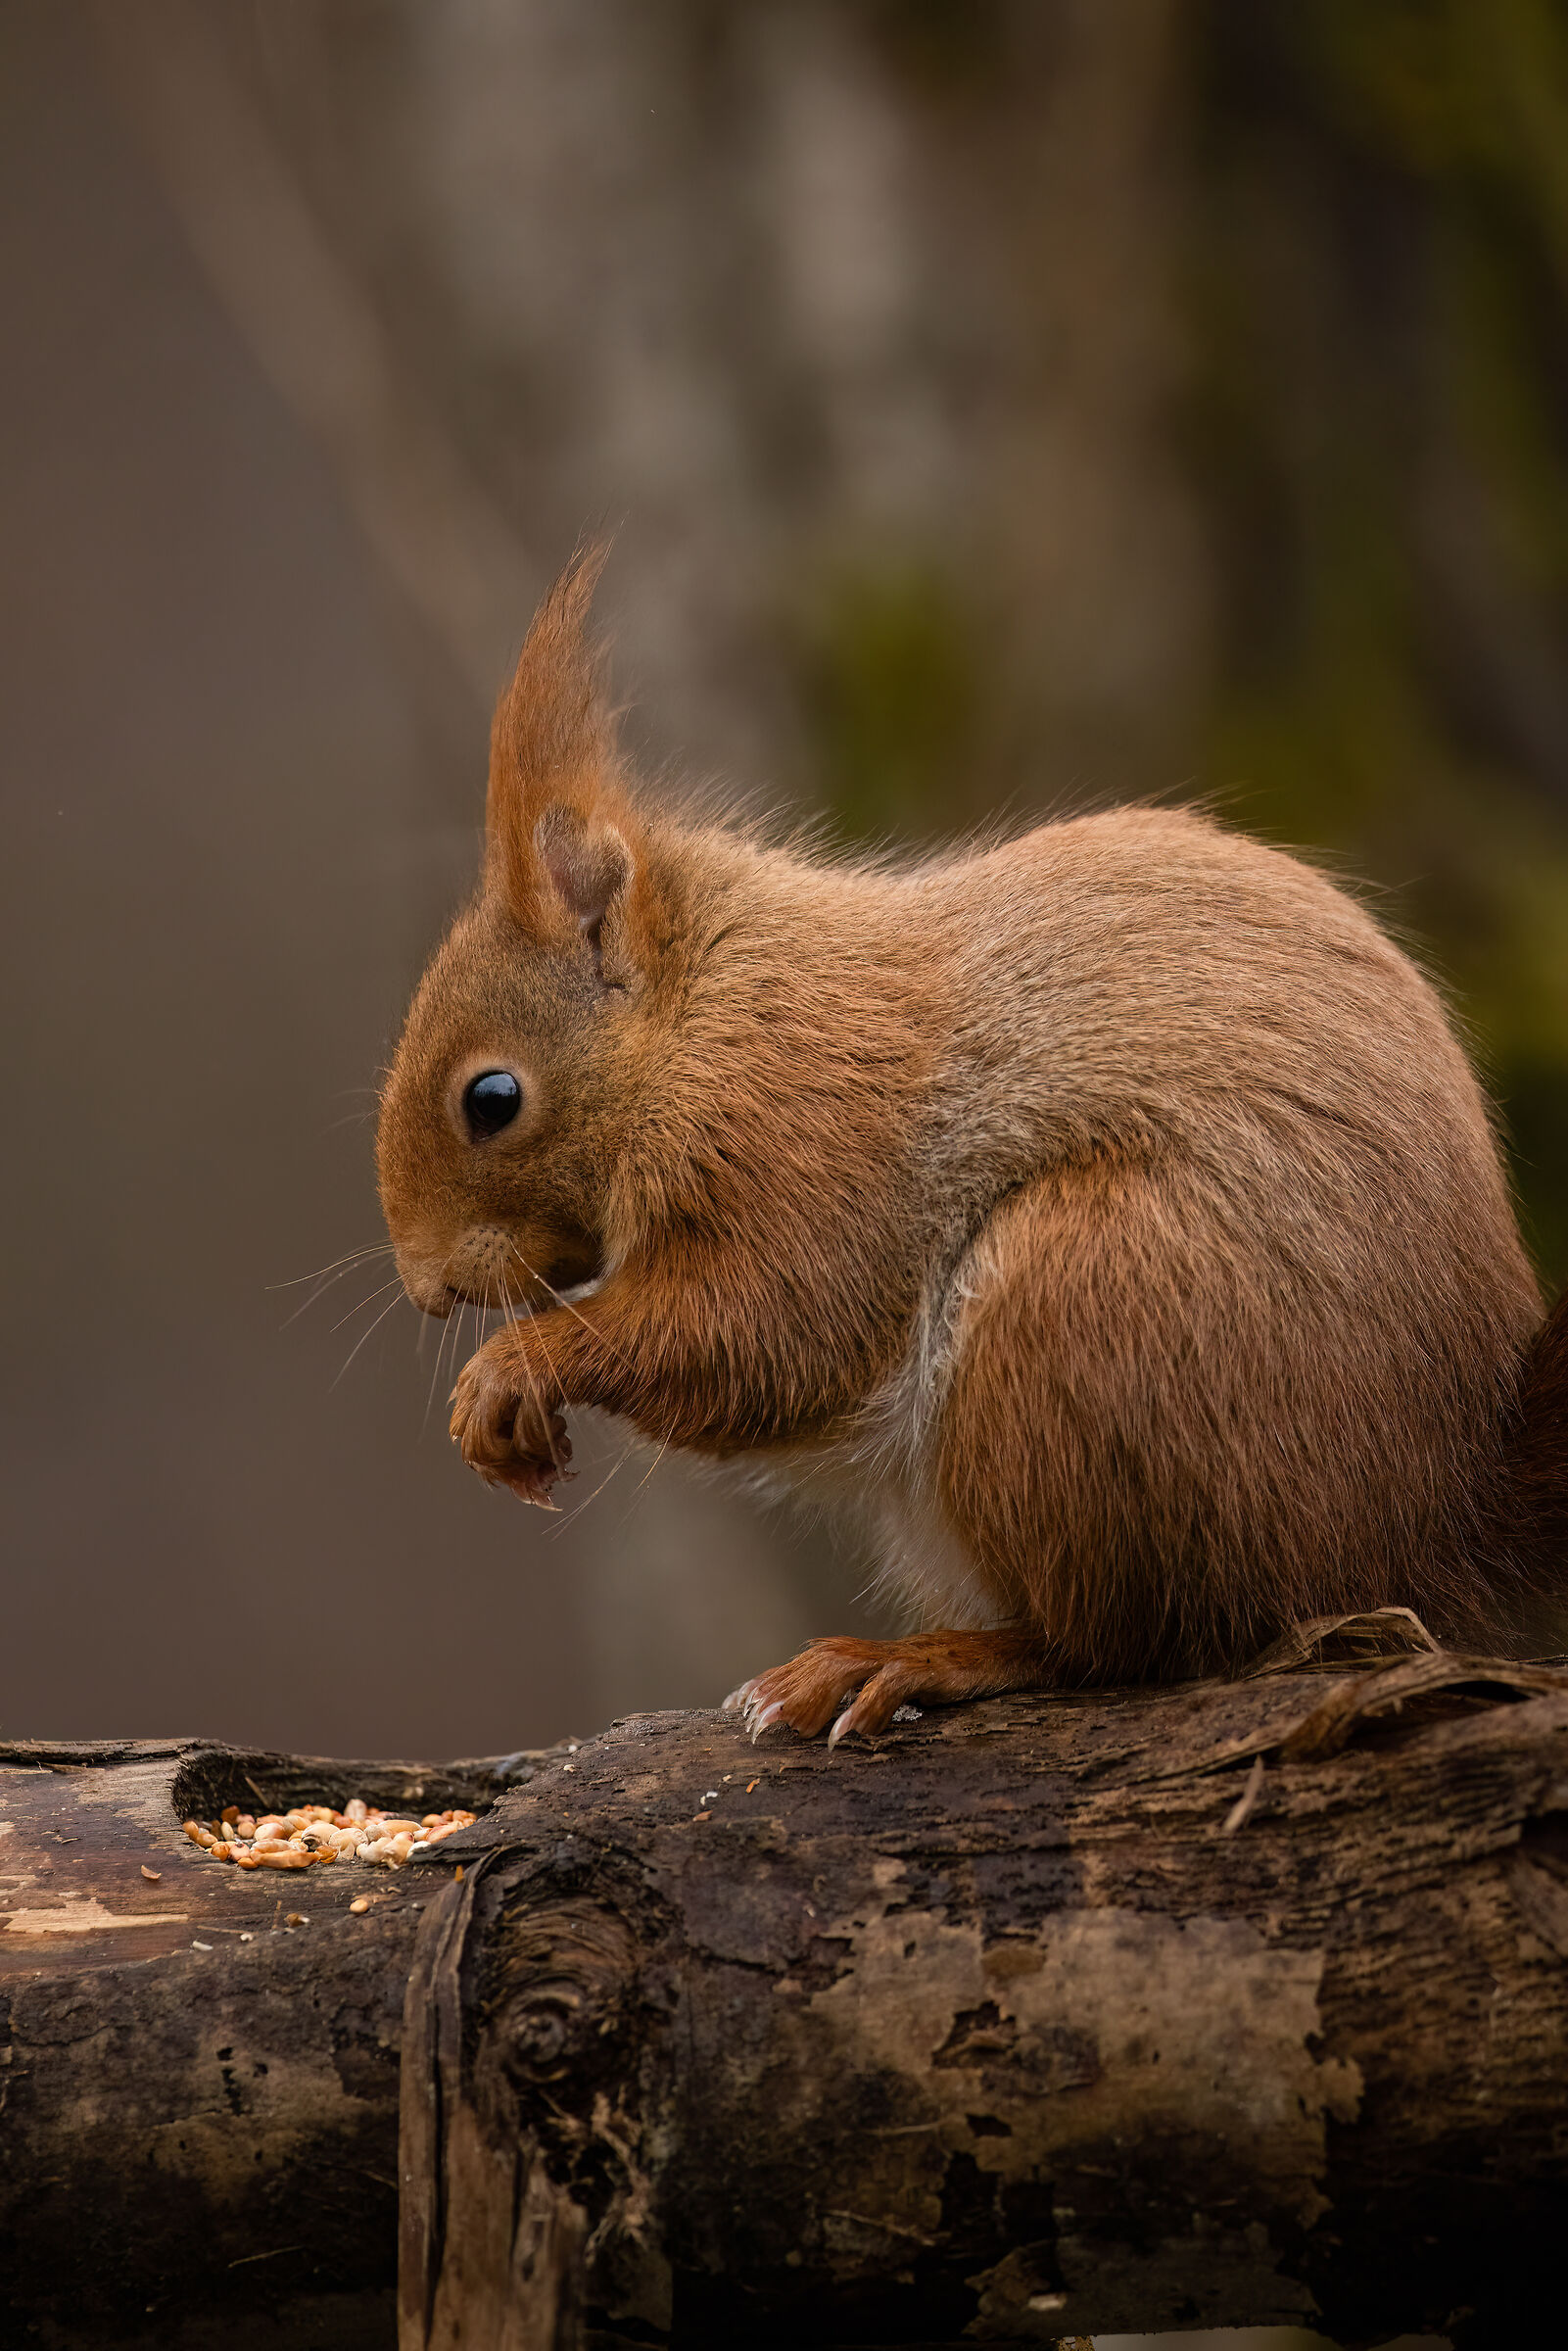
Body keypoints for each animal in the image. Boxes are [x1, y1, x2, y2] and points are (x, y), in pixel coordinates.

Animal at [377, 548, 1568, 1745]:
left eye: (492, 1099)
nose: (427, 1289)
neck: (707, 1016)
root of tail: (1436, 1513)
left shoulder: (802, 1144)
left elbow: (759, 1336)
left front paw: (509, 1371)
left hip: (1082, 1311)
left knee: (1123, 1644)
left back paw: (916, 1660)